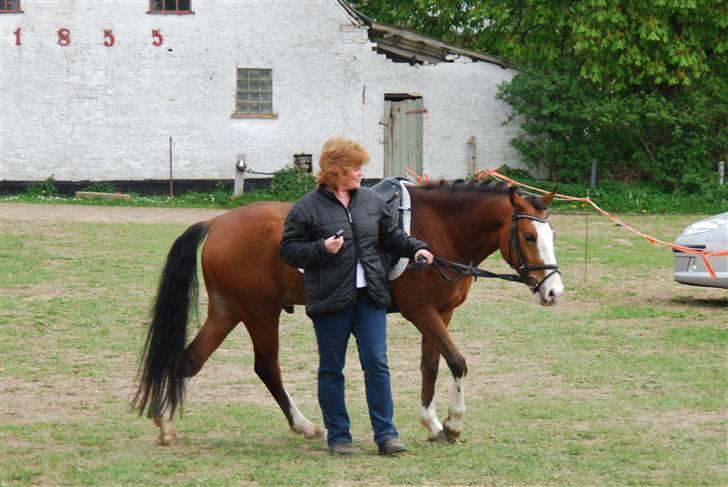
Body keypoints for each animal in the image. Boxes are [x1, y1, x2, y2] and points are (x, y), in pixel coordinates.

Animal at [132, 180, 564, 446]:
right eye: (529, 236)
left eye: (552, 235)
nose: (554, 291)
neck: (438, 230)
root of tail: (217, 221)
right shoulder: (421, 311)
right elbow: (457, 361)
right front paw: (454, 423)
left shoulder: (441, 314)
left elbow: (431, 365)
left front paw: (432, 423)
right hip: (259, 313)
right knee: (266, 367)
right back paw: (305, 425)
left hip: (227, 311)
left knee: (189, 360)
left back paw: (165, 424)